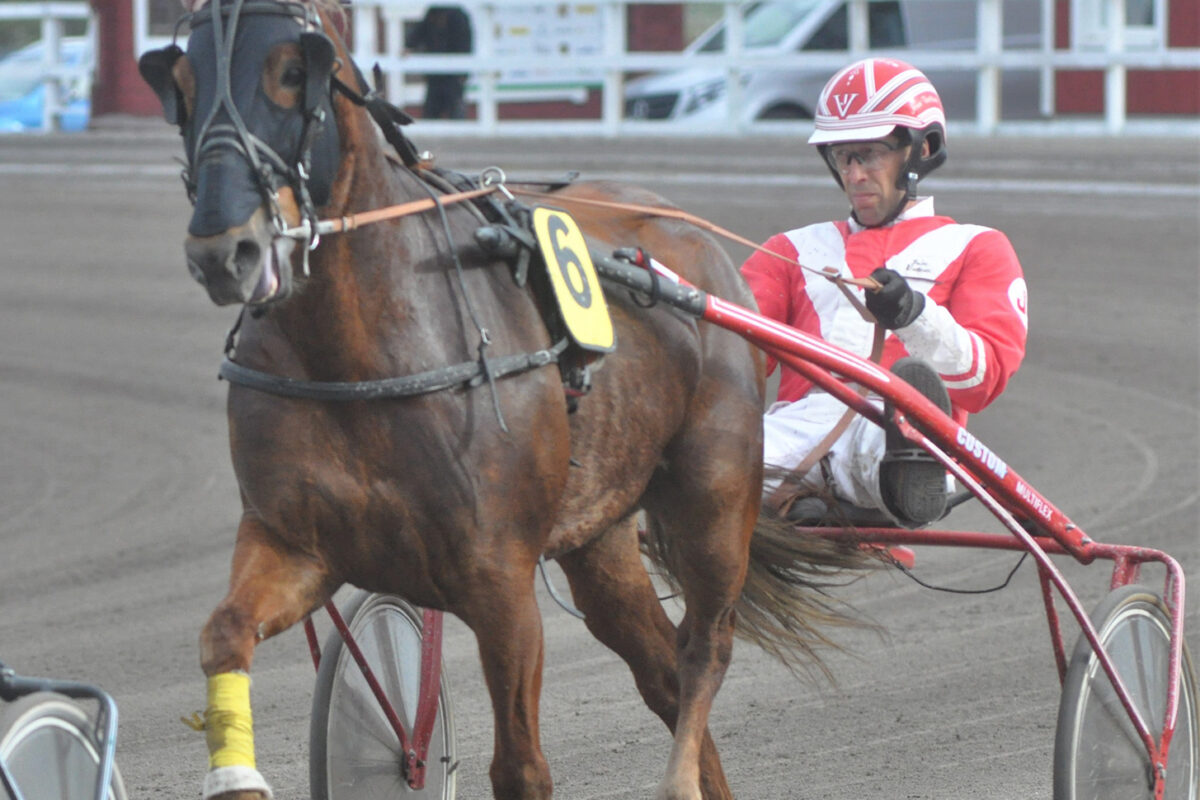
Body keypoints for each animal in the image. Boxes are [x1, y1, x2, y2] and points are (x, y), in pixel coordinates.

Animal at [138, 3, 864, 796]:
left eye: (293, 71)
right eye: (179, 81)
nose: (222, 251)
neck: (359, 353)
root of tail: (691, 247)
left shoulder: (500, 583)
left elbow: (520, 767)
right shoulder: (295, 542)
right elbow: (224, 634)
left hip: (714, 494)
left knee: (704, 649)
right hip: (601, 534)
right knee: (663, 671)